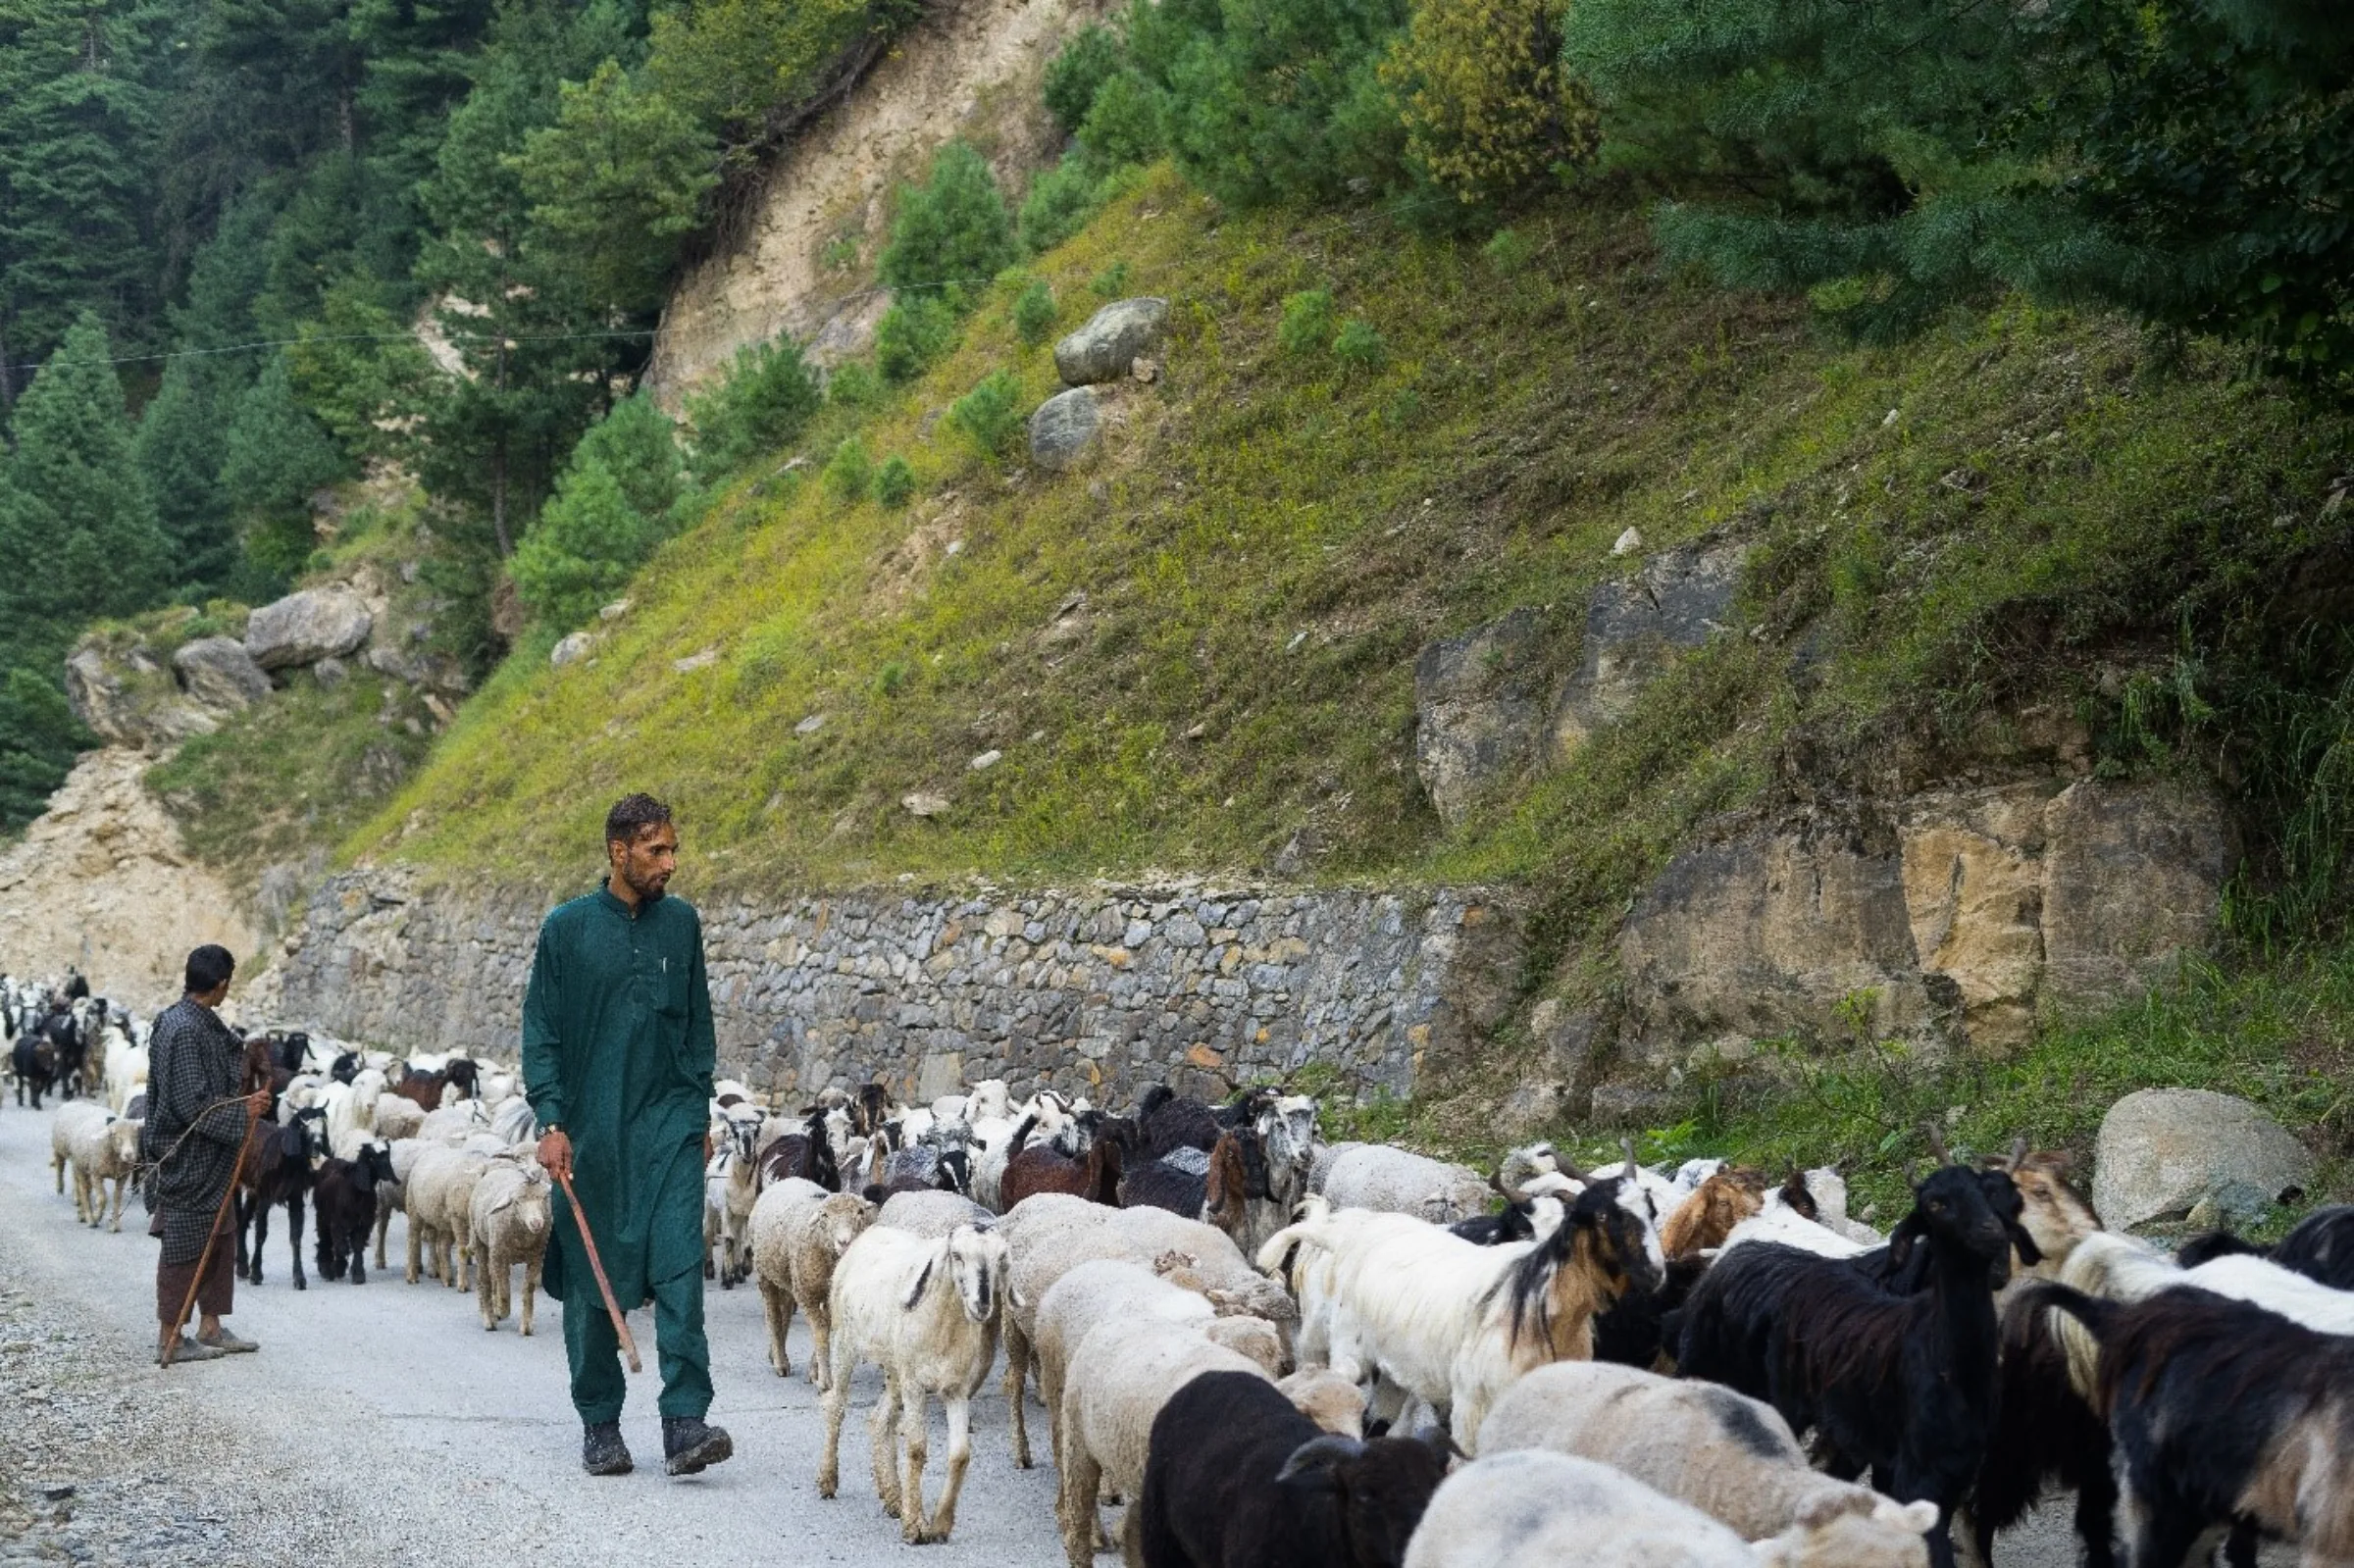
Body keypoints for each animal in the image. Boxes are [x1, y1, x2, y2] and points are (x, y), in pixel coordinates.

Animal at [473, 1153, 555, 1328]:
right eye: (517, 1201)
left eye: (544, 1198)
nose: (536, 1223)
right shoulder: (498, 1255)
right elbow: (503, 1287)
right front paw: (503, 1310)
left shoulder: (537, 1257)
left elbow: (528, 1288)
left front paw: (526, 1326)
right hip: (480, 1242)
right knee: (485, 1278)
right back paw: (489, 1317)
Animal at [814, 1224, 1007, 1535]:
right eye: (957, 1255)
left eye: (1001, 1257)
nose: (982, 1304)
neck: (942, 1327)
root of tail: (872, 1230)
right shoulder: (915, 1385)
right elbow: (916, 1448)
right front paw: (915, 1525)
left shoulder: (956, 1388)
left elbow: (960, 1454)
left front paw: (940, 1524)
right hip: (846, 1343)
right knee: (836, 1407)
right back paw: (828, 1480)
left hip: (895, 1367)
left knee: (880, 1419)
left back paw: (893, 1496)